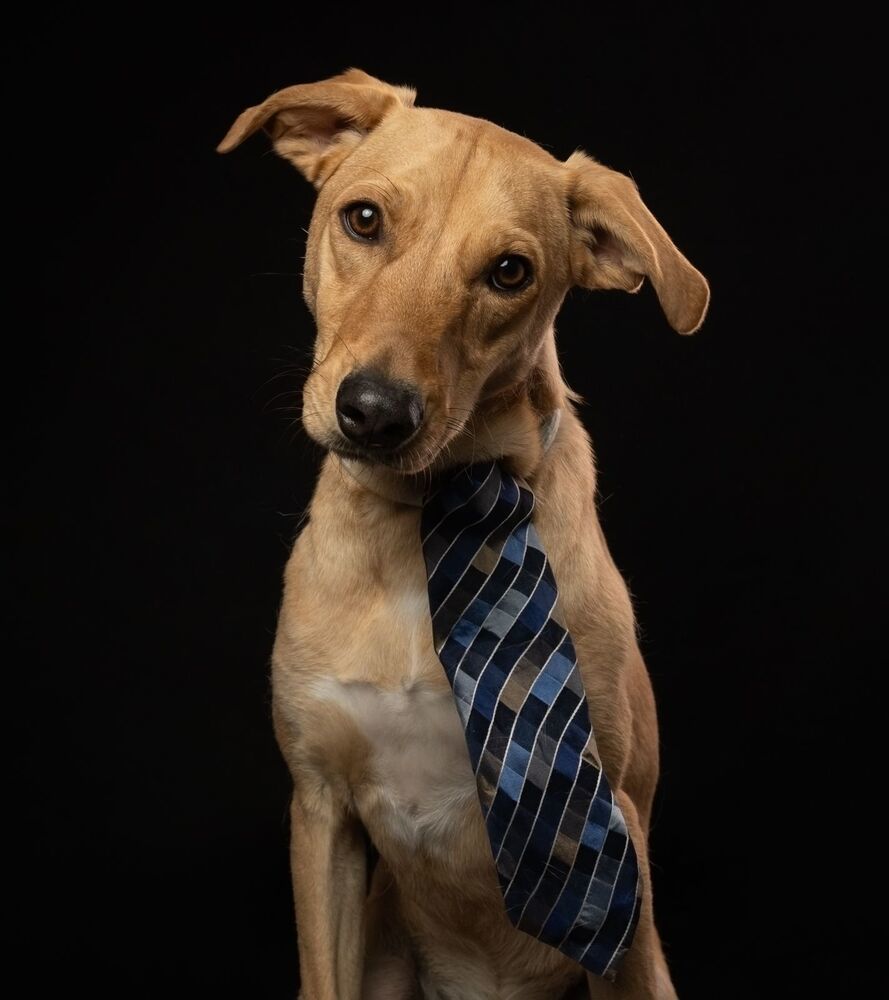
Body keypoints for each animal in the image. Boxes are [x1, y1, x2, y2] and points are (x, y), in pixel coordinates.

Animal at [220, 70, 708, 1000]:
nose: (376, 413)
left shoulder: (613, 845)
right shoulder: (322, 810)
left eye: (509, 272)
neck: (430, 521)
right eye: (363, 219)